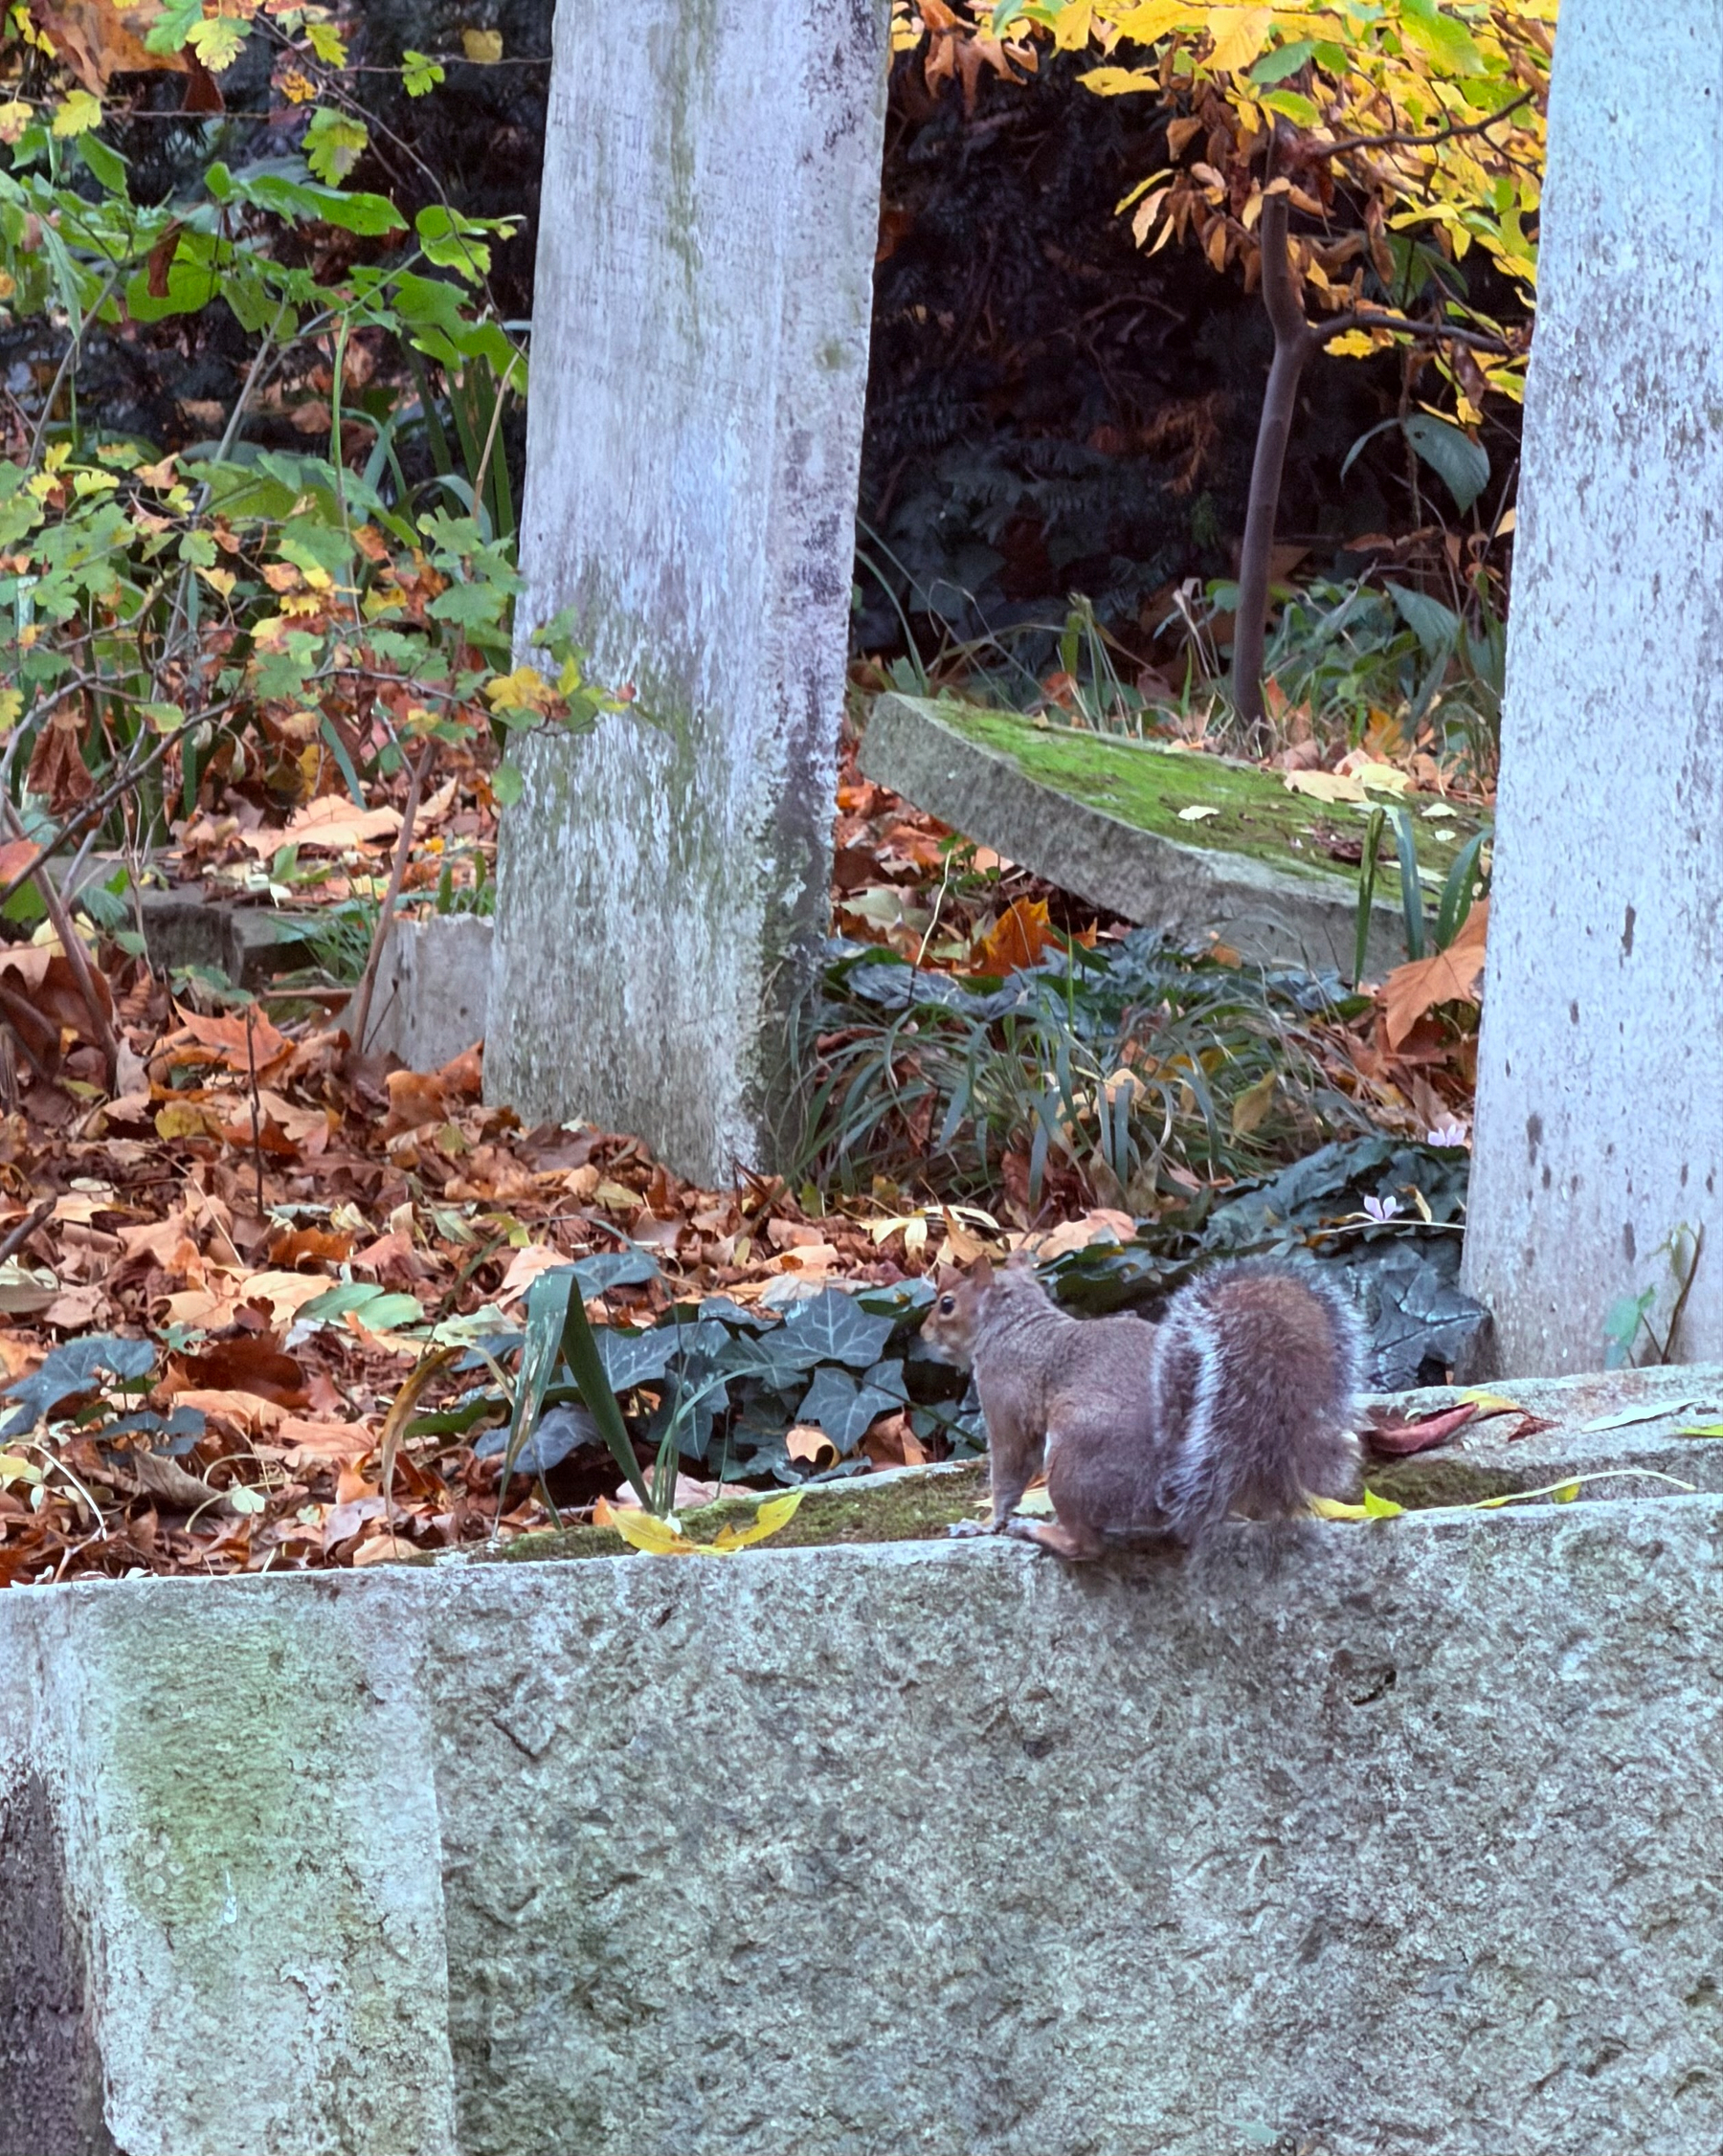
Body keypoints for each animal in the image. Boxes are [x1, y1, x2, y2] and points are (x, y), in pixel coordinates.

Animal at [920, 1254, 1364, 1561]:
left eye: (947, 1304)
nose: (923, 1332)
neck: (1013, 1324)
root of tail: (1176, 1482)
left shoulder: (1004, 1396)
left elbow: (1008, 1468)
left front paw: (982, 1524)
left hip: (1072, 1455)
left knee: (1087, 1546)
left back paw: (1038, 1531)